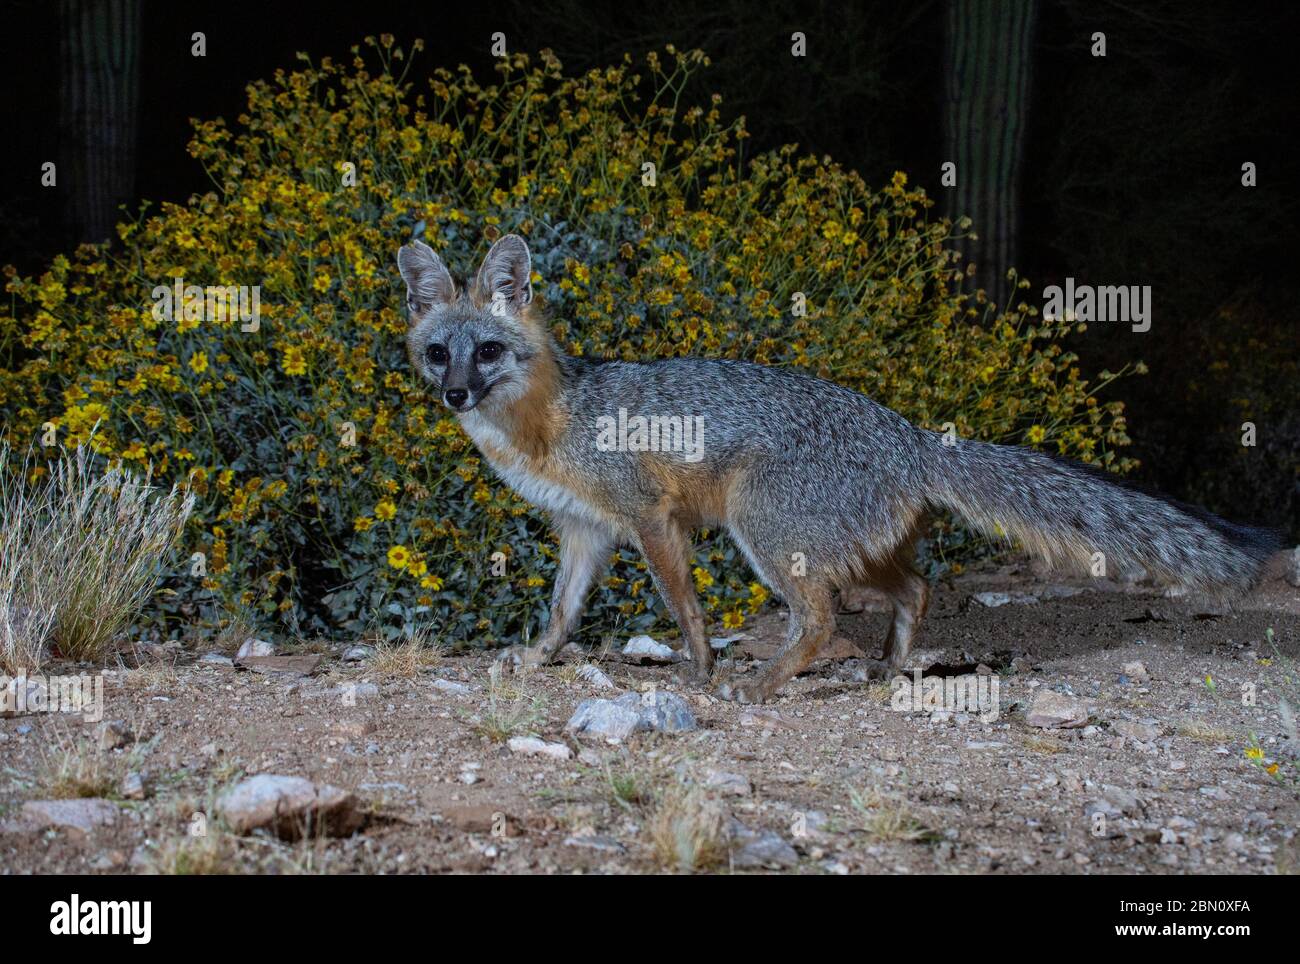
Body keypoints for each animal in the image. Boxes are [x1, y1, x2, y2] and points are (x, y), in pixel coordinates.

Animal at [397, 233, 1280, 704]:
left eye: (488, 351)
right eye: (440, 352)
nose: (453, 394)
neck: (553, 416)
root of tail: (908, 433)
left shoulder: (650, 517)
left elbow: (686, 610)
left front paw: (704, 671)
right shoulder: (584, 532)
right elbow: (561, 614)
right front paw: (535, 659)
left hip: (765, 532)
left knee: (820, 622)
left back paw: (763, 684)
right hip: (849, 549)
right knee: (915, 588)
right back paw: (888, 668)